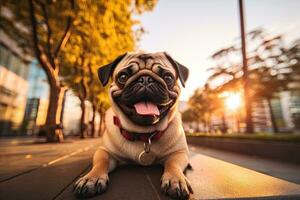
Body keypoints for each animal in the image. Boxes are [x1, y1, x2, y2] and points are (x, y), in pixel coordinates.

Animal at [74, 52, 193, 199]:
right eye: (123, 77)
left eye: (168, 77)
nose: (146, 79)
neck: (143, 134)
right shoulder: (105, 151)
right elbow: (101, 163)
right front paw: (91, 178)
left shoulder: (179, 153)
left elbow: (173, 164)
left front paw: (175, 179)